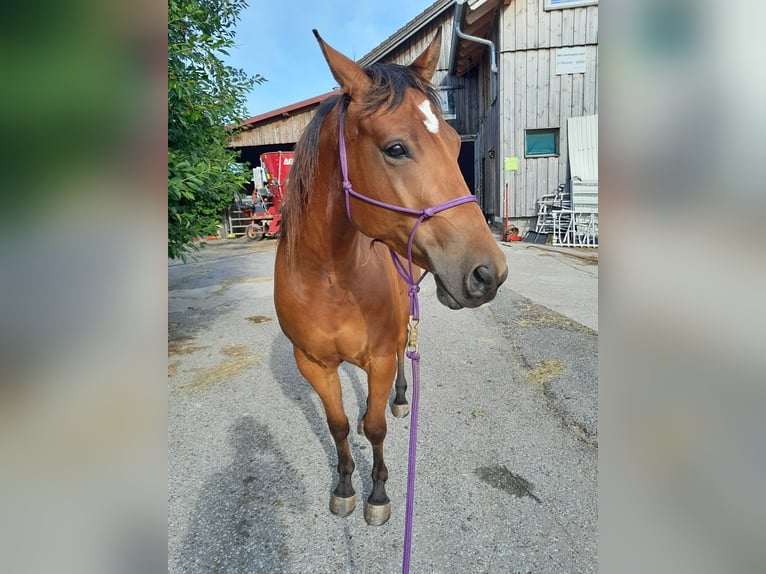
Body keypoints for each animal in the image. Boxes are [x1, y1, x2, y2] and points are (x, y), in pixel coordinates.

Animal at [274, 29, 508, 527]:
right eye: (396, 148)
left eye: (456, 143)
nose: (489, 273)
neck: (329, 277)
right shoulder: (313, 364)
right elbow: (340, 425)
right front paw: (344, 486)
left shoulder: (378, 360)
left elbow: (374, 425)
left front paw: (378, 493)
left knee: (404, 350)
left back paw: (402, 398)